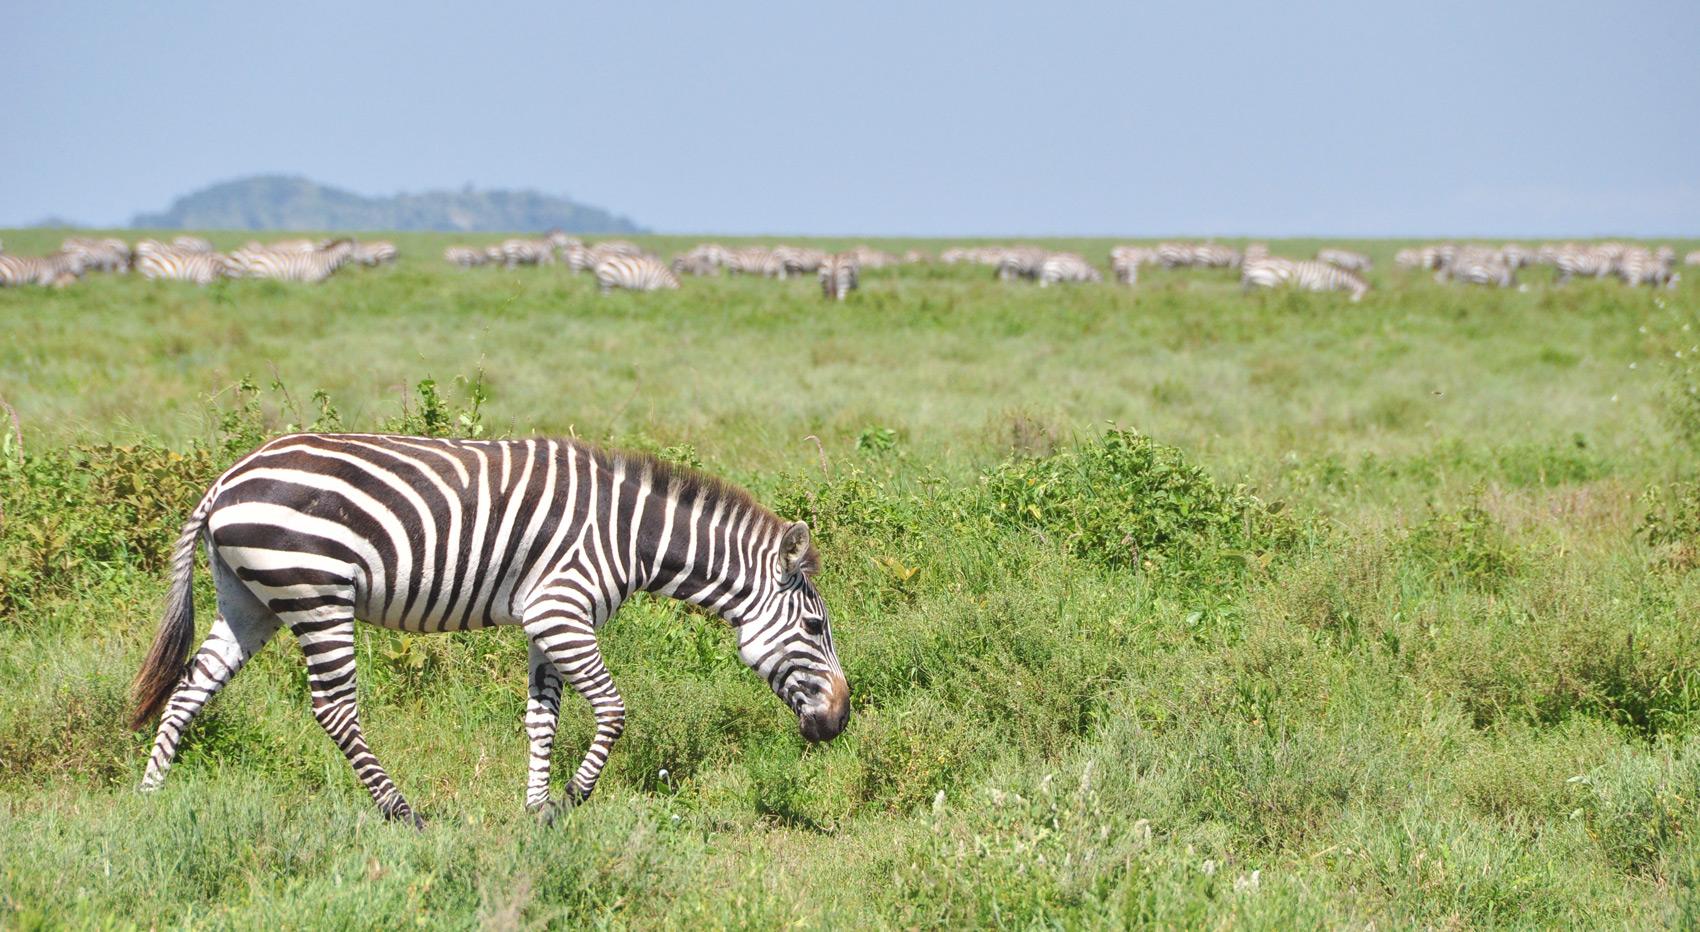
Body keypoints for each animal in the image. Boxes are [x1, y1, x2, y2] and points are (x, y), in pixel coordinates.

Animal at [129, 434, 849, 824]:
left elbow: (542, 718)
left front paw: (534, 810)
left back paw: (150, 800)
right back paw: (403, 812)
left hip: (250, 601)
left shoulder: (546, 621)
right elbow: (613, 710)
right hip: (316, 593)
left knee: (191, 687)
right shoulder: (563, 610)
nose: (840, 720)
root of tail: (226, 479)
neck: (629, 537)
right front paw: (569, 800)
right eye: (816, 625)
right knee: (334, 709)